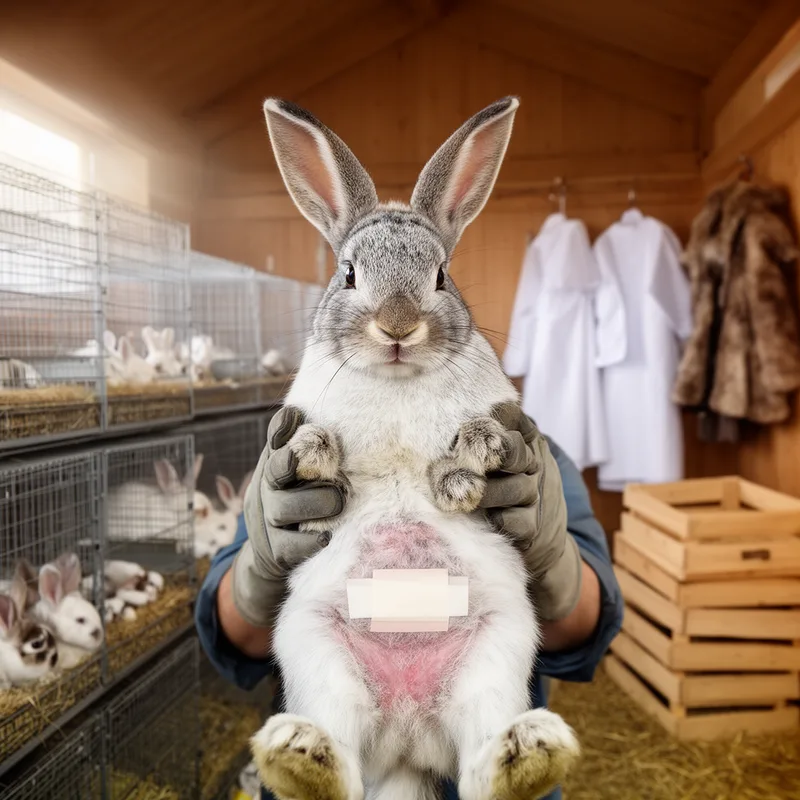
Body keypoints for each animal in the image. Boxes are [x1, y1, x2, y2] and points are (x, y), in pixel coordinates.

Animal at [249, 97, 579, 800]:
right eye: (349, 273)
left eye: (441, 275)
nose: (397, 326)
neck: (397, 378)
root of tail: (406, 736)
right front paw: (312, 455)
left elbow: (473, 446)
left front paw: (468, 466)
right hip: (315, 651)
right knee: (345, 767)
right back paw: (302, 755)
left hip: (498, 652)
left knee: (480, 767)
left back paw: (528, 753)